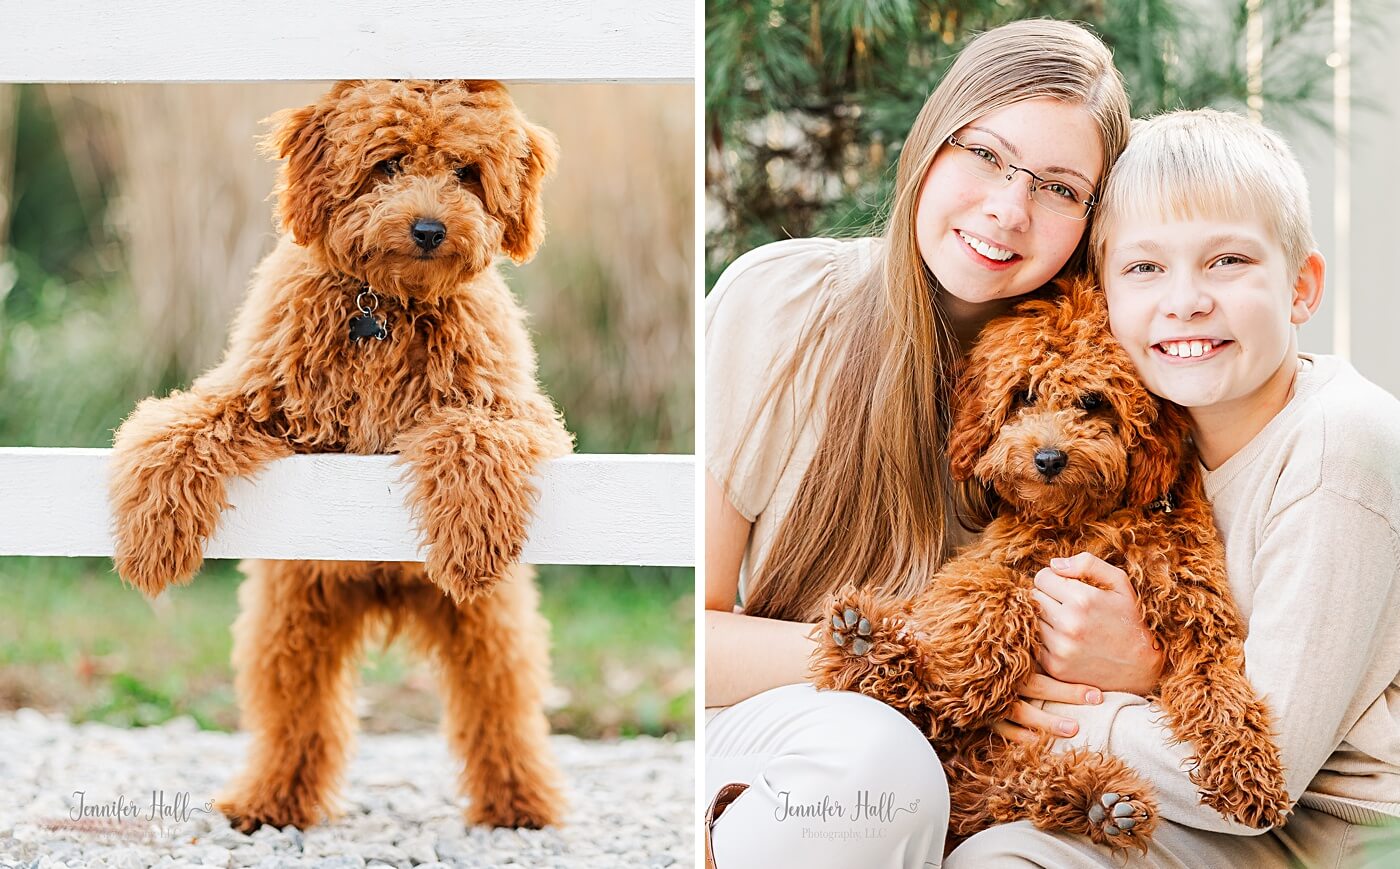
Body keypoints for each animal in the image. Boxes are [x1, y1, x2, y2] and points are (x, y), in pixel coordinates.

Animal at [106, 82, 571, 834]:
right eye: (387, 162)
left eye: (466, 172)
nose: (429, 229)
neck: (385, 304)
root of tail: (383, 589)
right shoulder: (255, 397)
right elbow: (176, 429)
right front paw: (152, 539)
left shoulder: (518, 413)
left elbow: (468, 433)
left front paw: (470, 536)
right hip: (291, 619)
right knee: (298, 713)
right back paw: (271, 801)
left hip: (487, 626)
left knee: (498, 707)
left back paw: (518, 803)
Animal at [812, 275, 1288, 845]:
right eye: (1024, 394)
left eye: (1093, 400)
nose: (1048, 458)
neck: (1082, 520)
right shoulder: (971, 570)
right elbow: (1000, 591)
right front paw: (967, 681)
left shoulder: (1197, 618)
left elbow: (1221, 687)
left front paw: (1249, 771)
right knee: (912, 699)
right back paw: (867, 646)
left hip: (995, 772)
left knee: (1013, 782)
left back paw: (1102, 801)